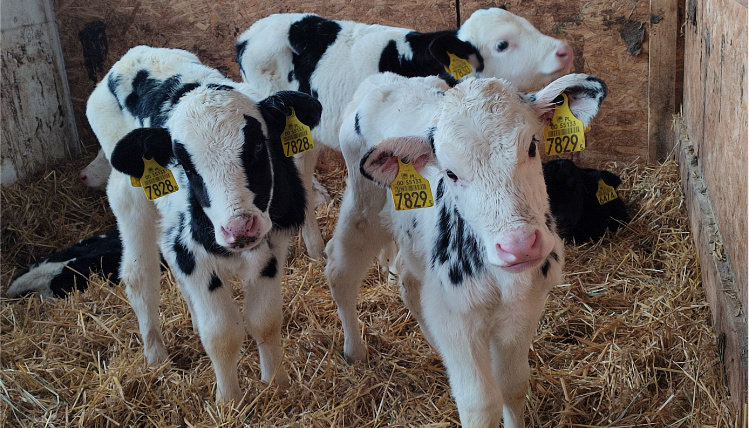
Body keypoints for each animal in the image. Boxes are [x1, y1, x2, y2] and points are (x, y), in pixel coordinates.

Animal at [87, 46, 322, 404]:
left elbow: (265, 321)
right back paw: (156, 357)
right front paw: (229, 402)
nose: (239, 228)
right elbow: (222, 334)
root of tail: (134, 55)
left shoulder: (271, 245)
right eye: (184, 163)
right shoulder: (194, 255)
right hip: (129, 196)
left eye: (257, 146)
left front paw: (276, 386)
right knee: (140, 275)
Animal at [324, 72, 604, 426]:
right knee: (341, 271)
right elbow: (480, 404)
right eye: (451, 173)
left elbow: (513, 385)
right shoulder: (456, 318)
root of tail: (382, 79)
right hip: (364, 207)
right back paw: (355, 351)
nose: (519, 246)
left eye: (531, 147)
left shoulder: (525, 309)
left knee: (407, 282)